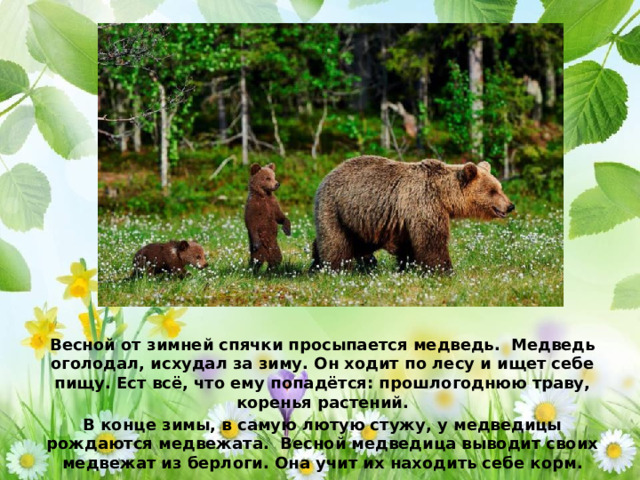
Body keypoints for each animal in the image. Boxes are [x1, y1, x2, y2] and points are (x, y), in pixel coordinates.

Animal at [312, 155, 514, 272]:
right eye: (492, 191)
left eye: (500, 187)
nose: (510, 206)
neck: (443, 195)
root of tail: (327, 175)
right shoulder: (424, 203)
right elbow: (432, 241)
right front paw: (444, 270)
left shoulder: (404, 218)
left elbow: (409, 245)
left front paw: (407, 267)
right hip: (335, 208)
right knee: (336, 242)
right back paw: (334, 268)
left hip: (360, 219)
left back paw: (316, 264)